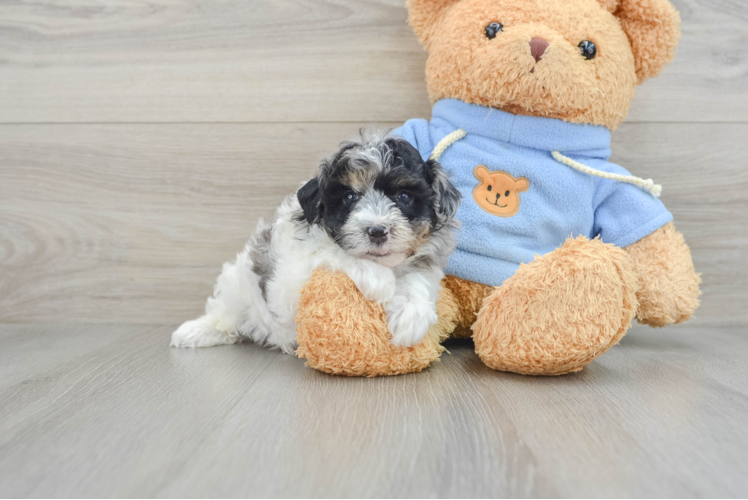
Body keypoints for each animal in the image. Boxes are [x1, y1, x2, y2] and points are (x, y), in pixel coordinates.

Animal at [172, 131, 458, 354]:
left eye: (404, 196)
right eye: (350, 197)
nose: (377, 231)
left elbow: (419, 277)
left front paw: (412, 318)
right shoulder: (291, 280)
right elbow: (332, 251)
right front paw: (381, 281)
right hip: (237, 285)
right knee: (225, 314)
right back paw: (194, 331)